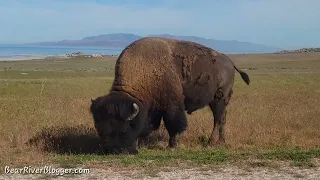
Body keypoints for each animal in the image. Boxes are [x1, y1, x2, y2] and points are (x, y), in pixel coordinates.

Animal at [90, 36, 250, 153]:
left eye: (123, 129)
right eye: (99, 128)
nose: (112, 150)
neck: (144, 70)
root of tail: (229, 61)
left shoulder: (171, 106)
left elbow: (173, 125)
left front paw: (172, 146)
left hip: (219, 100)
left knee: (218, 119)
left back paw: (212, 143)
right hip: (217, 101)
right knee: (222, 118)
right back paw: (220, 141)